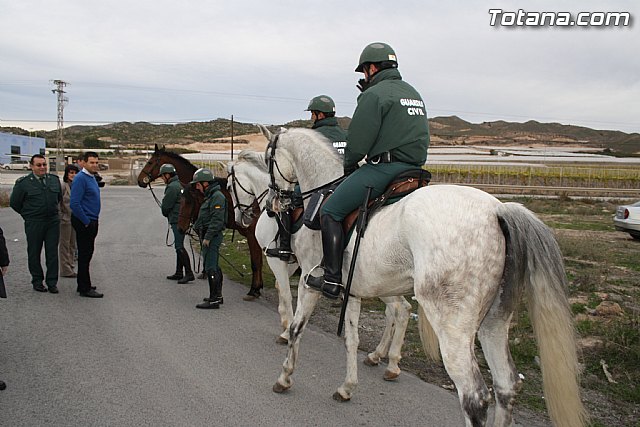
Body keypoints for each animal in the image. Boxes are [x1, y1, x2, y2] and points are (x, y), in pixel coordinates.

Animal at [227, 150, 412, 380]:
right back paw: (382, 357)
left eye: (229, 187)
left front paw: (286, 331)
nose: (242, 218)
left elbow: (285, 296)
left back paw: (387, 359)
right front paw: (290, 329)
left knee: (397, 310)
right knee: (400, 310)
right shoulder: (295, 266)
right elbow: (286, 293)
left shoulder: (277, 260)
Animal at [262, 126, 587, 427]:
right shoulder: (351, 291)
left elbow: (296, 328)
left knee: (475, 396)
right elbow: (351, 340)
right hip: (494, 321)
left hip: (453, 326)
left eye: (267, 158)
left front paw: (285, 377)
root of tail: (497, 210)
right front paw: (347, 387)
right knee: (506, 384)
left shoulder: (310, 282)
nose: (273, 204)